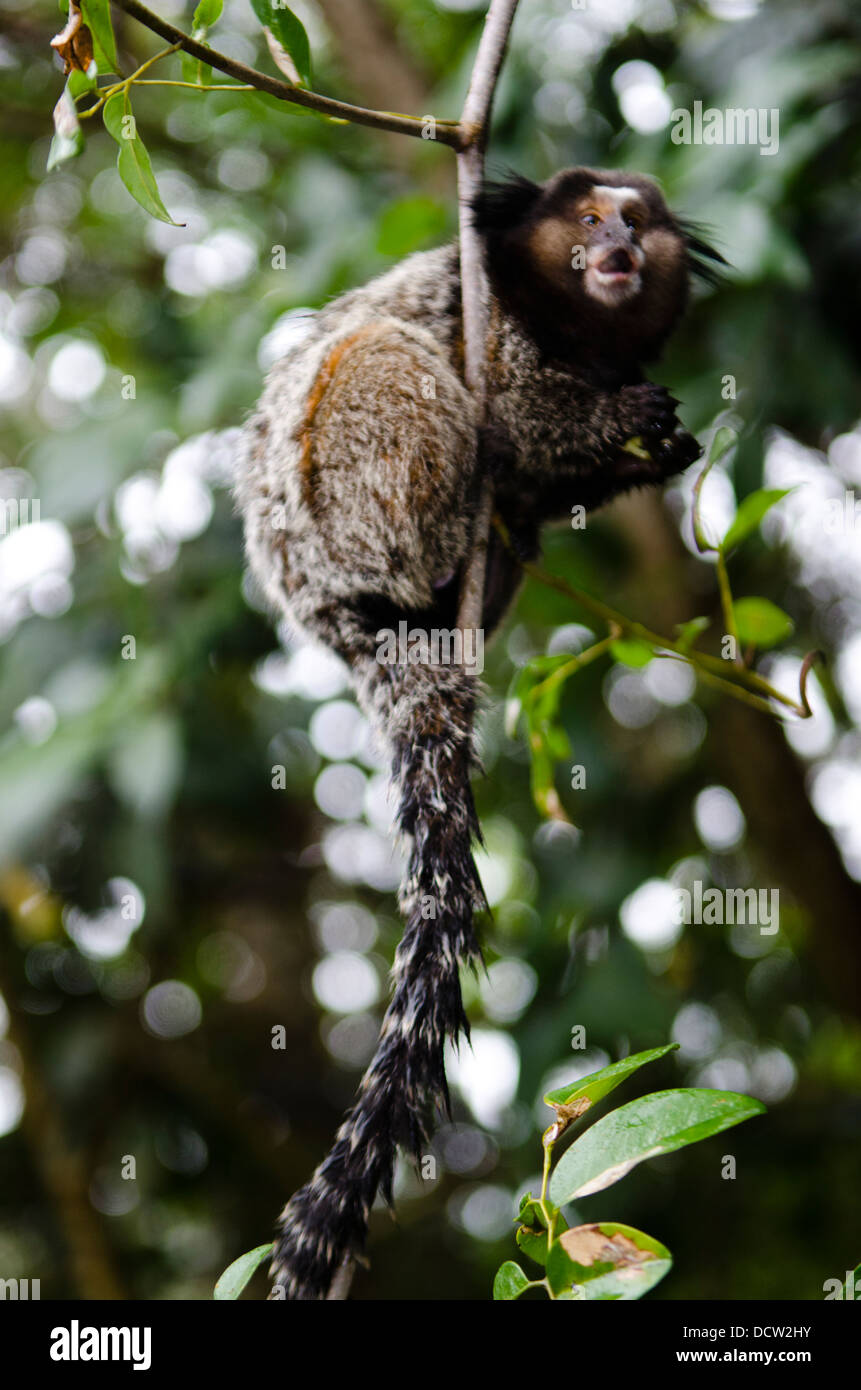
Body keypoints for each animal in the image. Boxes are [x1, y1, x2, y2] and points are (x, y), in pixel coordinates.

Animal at [233, 165, 723, 1301]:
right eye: (588, 218)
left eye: (642, 221)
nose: (618, 242)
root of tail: (341, 628)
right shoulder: (492, 321)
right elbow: (514, 412)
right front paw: (628, 418)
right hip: (343, 503)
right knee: (377, 359)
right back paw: (453, 530)